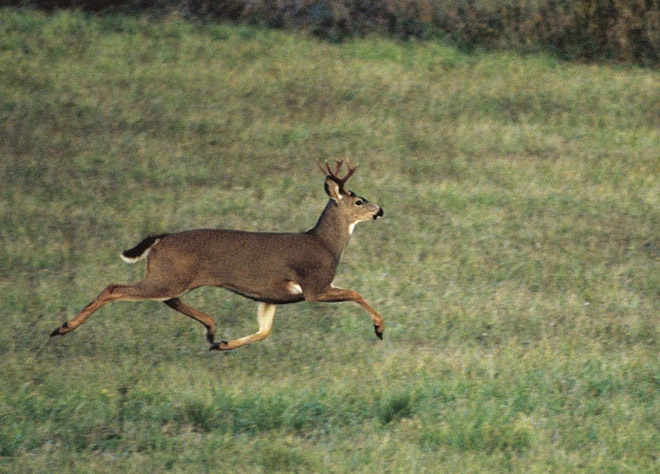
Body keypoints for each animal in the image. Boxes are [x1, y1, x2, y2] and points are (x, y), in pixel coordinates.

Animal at [50, 160, 385, 351]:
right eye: (358, 200)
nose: (380, 210)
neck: (324, 244)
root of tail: (160, 239)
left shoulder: (271, 296)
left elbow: (264, 331)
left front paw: (223, 345)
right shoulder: (314, 285)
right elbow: (356, 293)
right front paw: (379, 328)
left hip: (170, 276)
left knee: (168, 299)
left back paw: (212, 331)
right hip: (166, 276)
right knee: (114, 288)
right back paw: (62, 327)